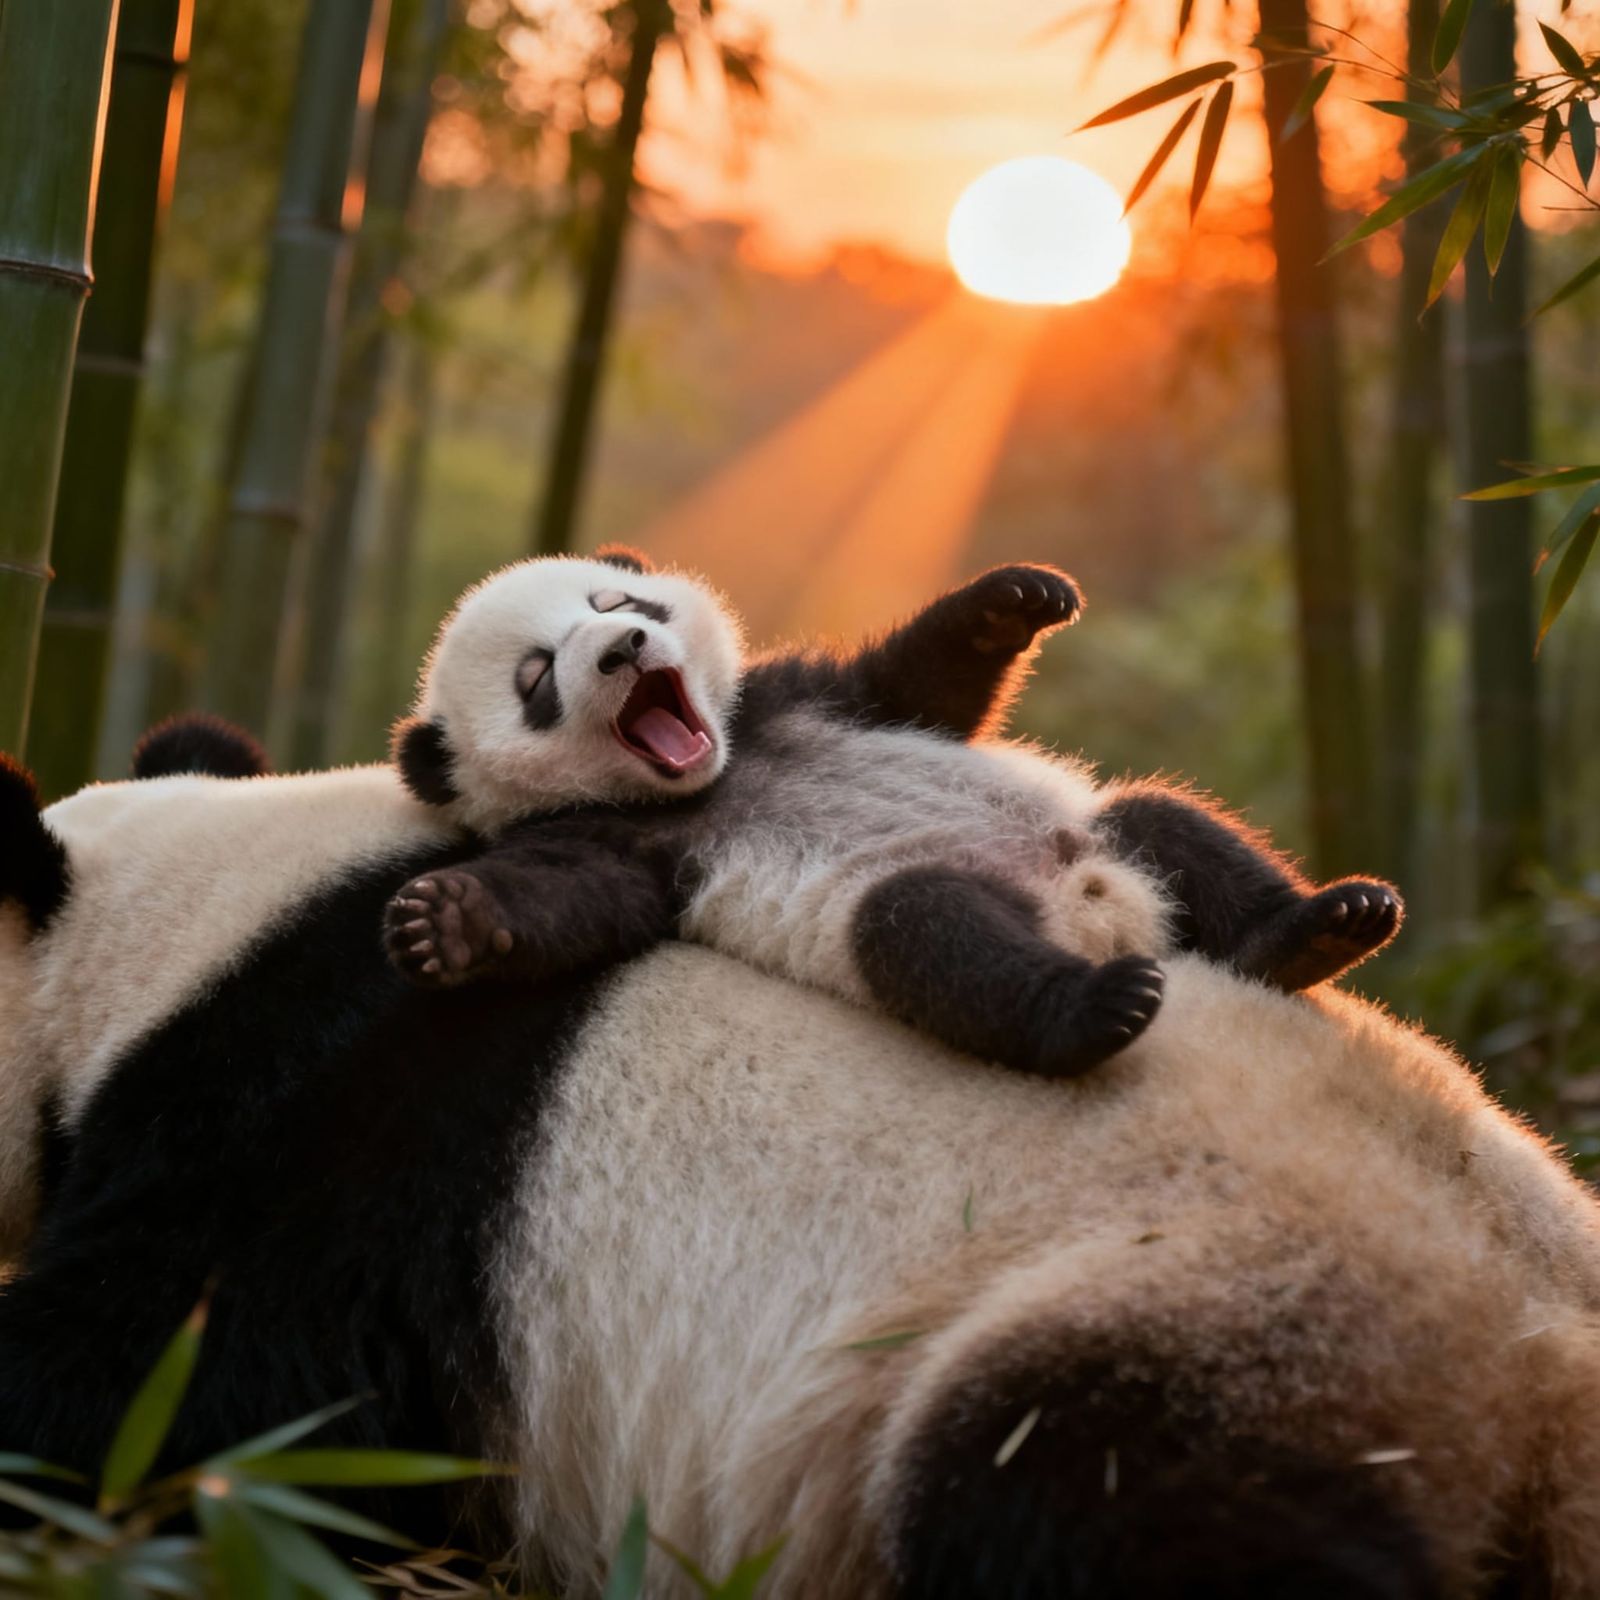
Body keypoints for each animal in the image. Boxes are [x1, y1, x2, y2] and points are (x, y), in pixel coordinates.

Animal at [383, 549, 1400, 1080]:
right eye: (538, 680)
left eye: (622, 600)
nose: (626, 649)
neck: (712, 777)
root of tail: (1099, 915)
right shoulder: (623, 839)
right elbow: (567, 895)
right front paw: (448, 921)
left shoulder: (787, 699)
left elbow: (915, 691)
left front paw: (1015, 598)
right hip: (901, 909)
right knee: (927, 932)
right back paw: (1099, 1006)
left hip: (1100, 837)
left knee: (1164, 823)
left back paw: (1317, 929)